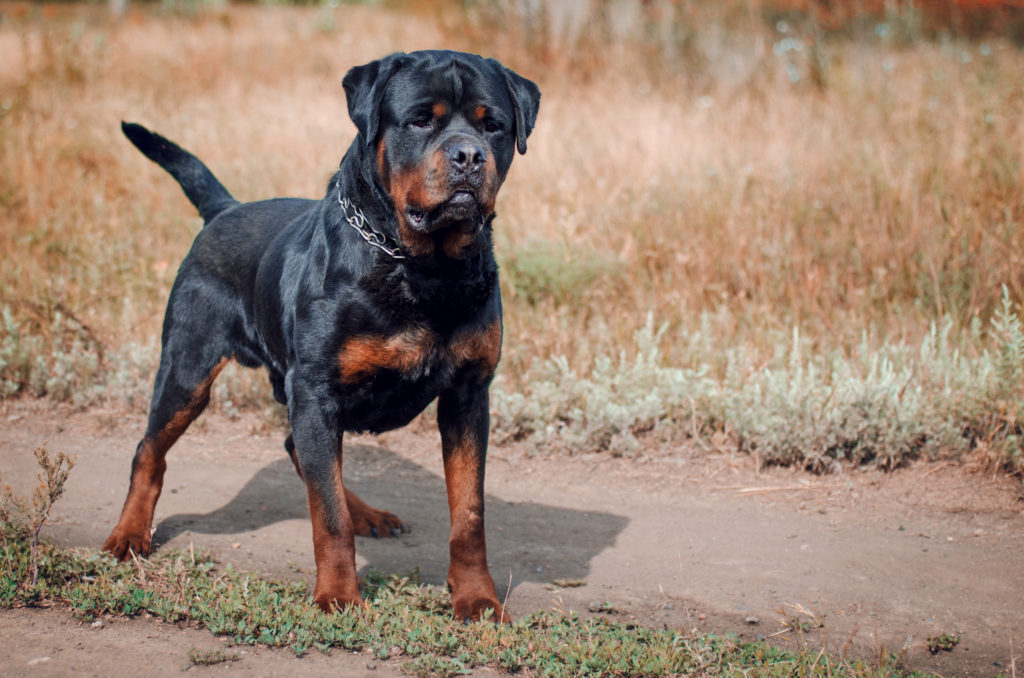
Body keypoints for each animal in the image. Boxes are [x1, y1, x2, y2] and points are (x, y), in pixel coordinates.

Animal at [99, 50, 540, 622]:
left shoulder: (468, 395)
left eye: (494, 126)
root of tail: (226, 209)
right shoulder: (315, 390)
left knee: (303, 453)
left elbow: (468, 514)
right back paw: (129, 534)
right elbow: (327, 517)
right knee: (151, 450)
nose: (469, 155)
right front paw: (338, 595)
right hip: (188, 369)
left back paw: (367, 513)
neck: (419, 266)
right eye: (421, 119)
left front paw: (477, 598)